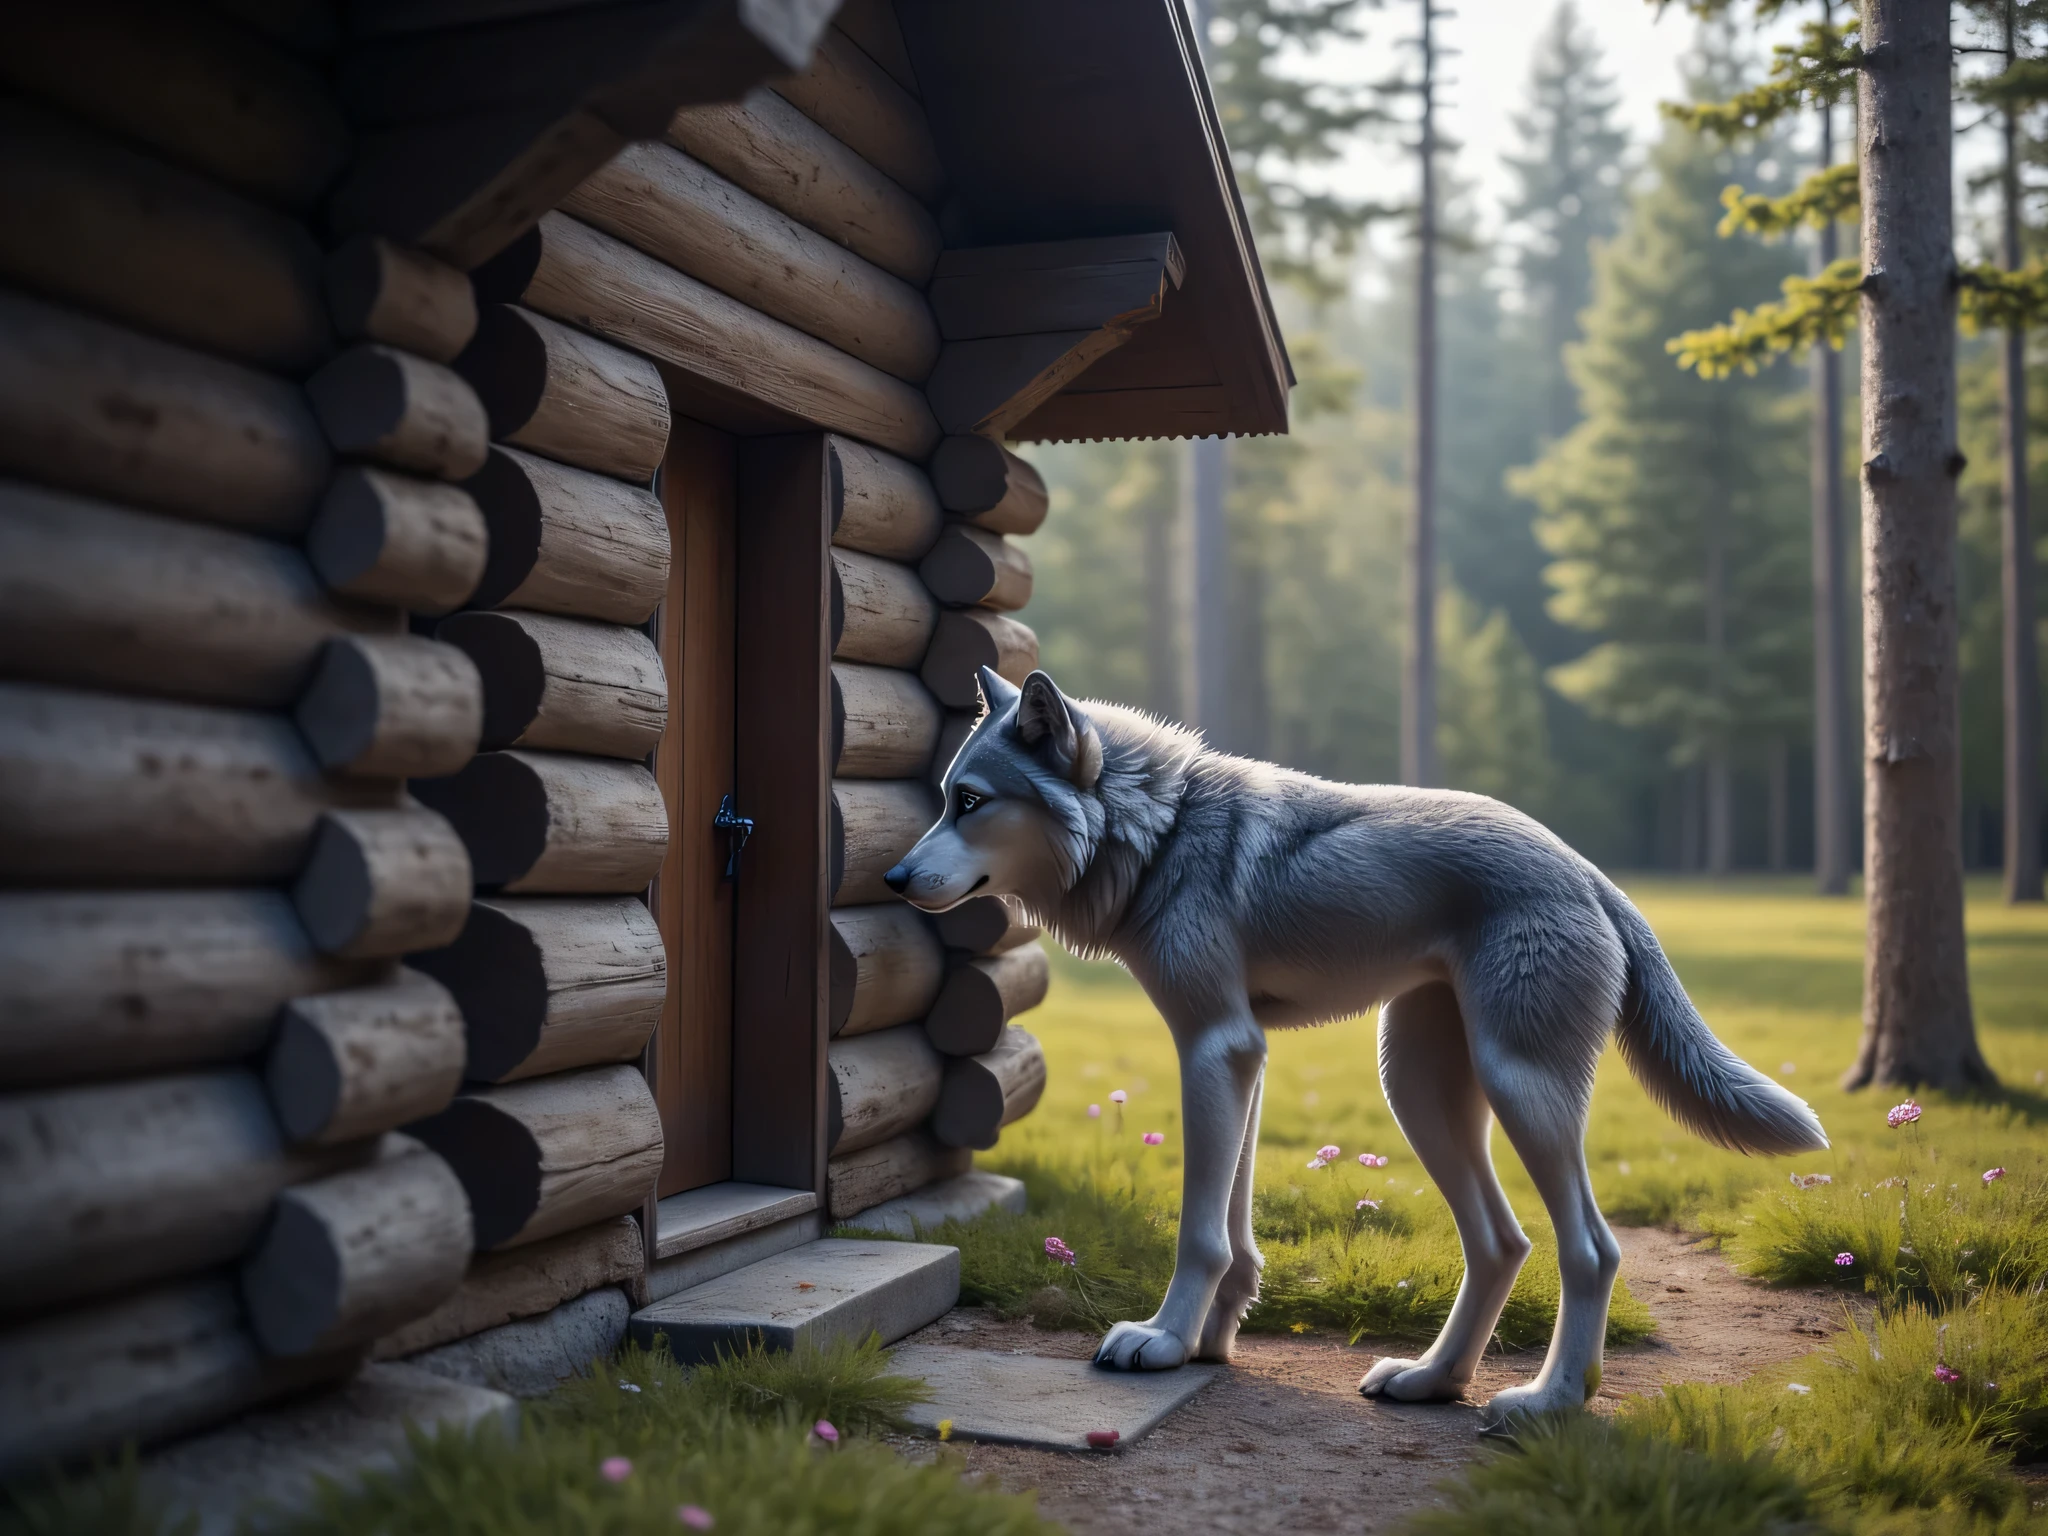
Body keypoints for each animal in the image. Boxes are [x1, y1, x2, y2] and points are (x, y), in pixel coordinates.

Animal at [884, 668, 1827, 1428]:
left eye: (971, 802)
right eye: (947, 796)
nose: (890, 879)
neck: (1161, 832)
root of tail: (1592, 874)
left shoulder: (1213, 1049)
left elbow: (1200, 1232)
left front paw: (1162, 1340)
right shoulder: (1243, 1059)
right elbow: (1236, 1233)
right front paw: (1211, 1341)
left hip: (1520, 1093)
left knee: (1590, 1250)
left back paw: (1548, 1403)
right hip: (1418, 1091)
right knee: (1503, 1243)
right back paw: (1432, 1381)